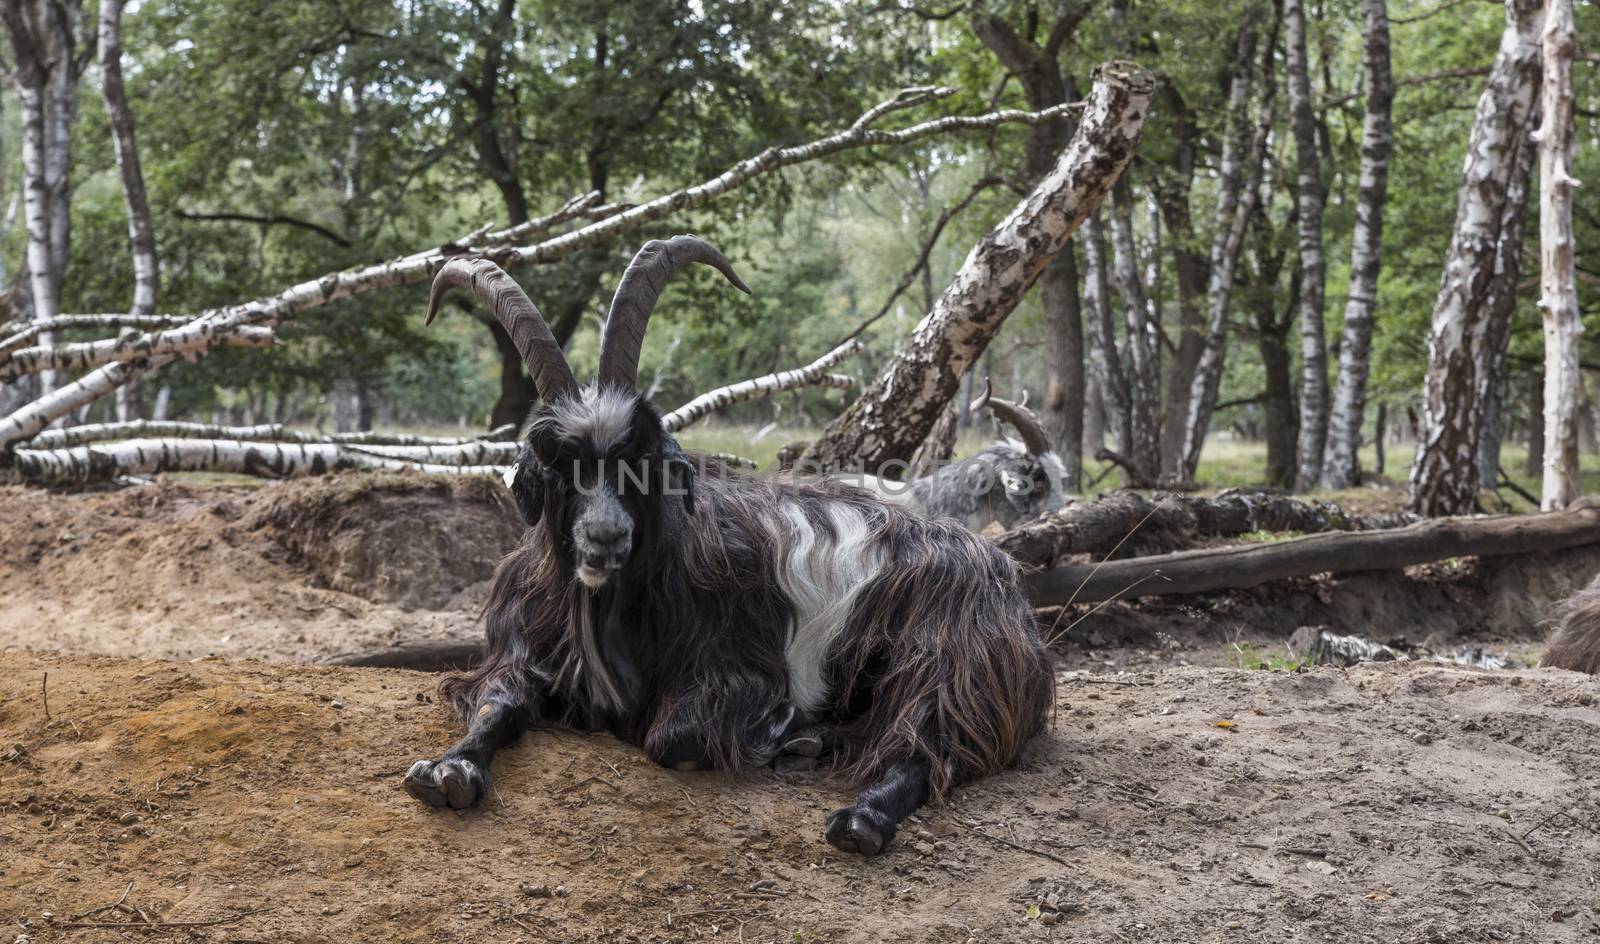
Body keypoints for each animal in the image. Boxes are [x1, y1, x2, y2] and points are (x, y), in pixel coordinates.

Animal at [400, 236, 1056, 857]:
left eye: (644, 454)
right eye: (558, 462)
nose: (606, 537)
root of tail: (1000, 569)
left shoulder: (737, 669)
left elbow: (673, 740)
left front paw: (778, 724)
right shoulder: (522, 649)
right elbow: (497, 702)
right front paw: (450, 769)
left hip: (954, 659)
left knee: (931, 741)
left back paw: (857, 815)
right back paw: (820, 744)